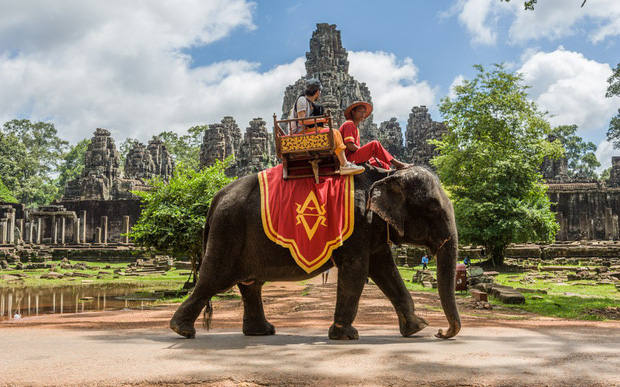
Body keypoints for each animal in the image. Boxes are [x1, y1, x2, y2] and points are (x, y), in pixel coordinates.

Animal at [170, 165, 460, 342]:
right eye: (433, 208)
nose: (441, 332)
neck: (386, 173)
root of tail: (215, 198)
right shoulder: (356, 224)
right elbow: (356, 269)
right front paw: (346, 336)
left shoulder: (372, 228)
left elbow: (385, 270)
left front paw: (417, 328)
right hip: (227, 232)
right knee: (214, 279)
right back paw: (182, 330)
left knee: (250, 285)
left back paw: (262, 332)